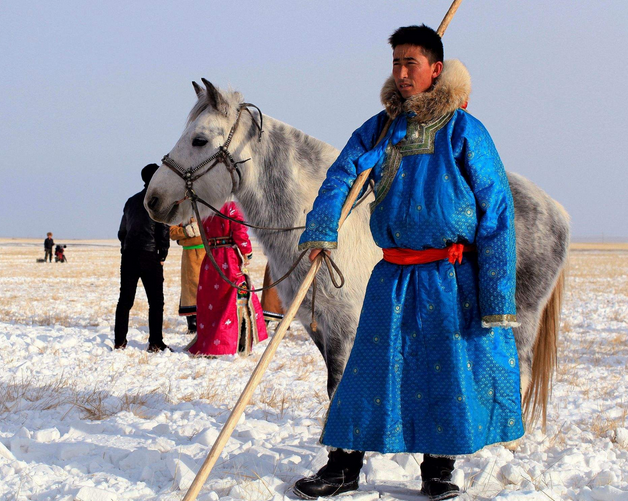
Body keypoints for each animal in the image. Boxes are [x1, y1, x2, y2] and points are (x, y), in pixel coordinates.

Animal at [146, 81, 568, 426]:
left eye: (199, 140)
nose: (154, 200)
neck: (319, 220)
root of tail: (556, 209)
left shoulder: (347, 327)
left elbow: (340, 388)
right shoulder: (318, 324)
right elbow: (334, 386)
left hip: (518, 320)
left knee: (519, 372)